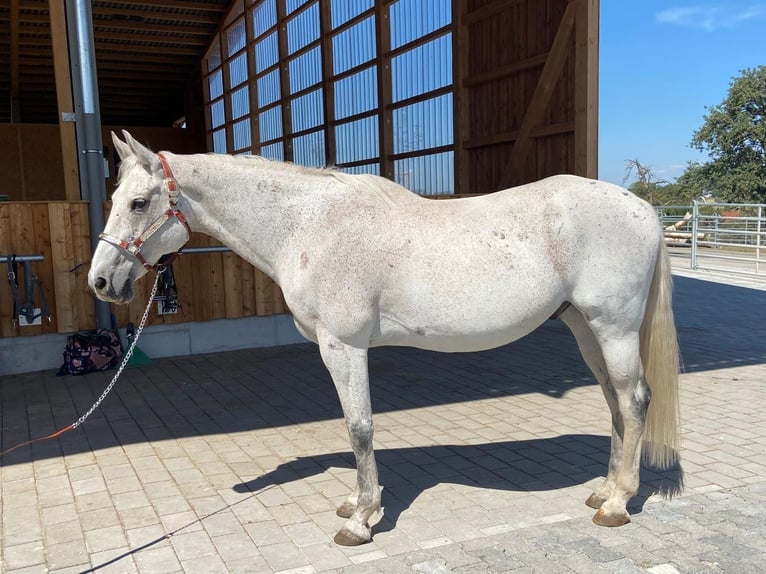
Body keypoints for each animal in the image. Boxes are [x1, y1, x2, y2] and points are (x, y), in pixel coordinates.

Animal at [90, 132, 684, 548]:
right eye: (114, 196)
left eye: (138, 203)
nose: (99, 281)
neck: (310, 225)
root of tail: (641, 208)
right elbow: (355, 429)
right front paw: (358, 503)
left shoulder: (343, 347)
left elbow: (359, 428)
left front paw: (362, 522)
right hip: (584, 328)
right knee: (614, 403)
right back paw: (603, 490)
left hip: (613, 328)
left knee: (633, 402)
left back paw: (617, 505)